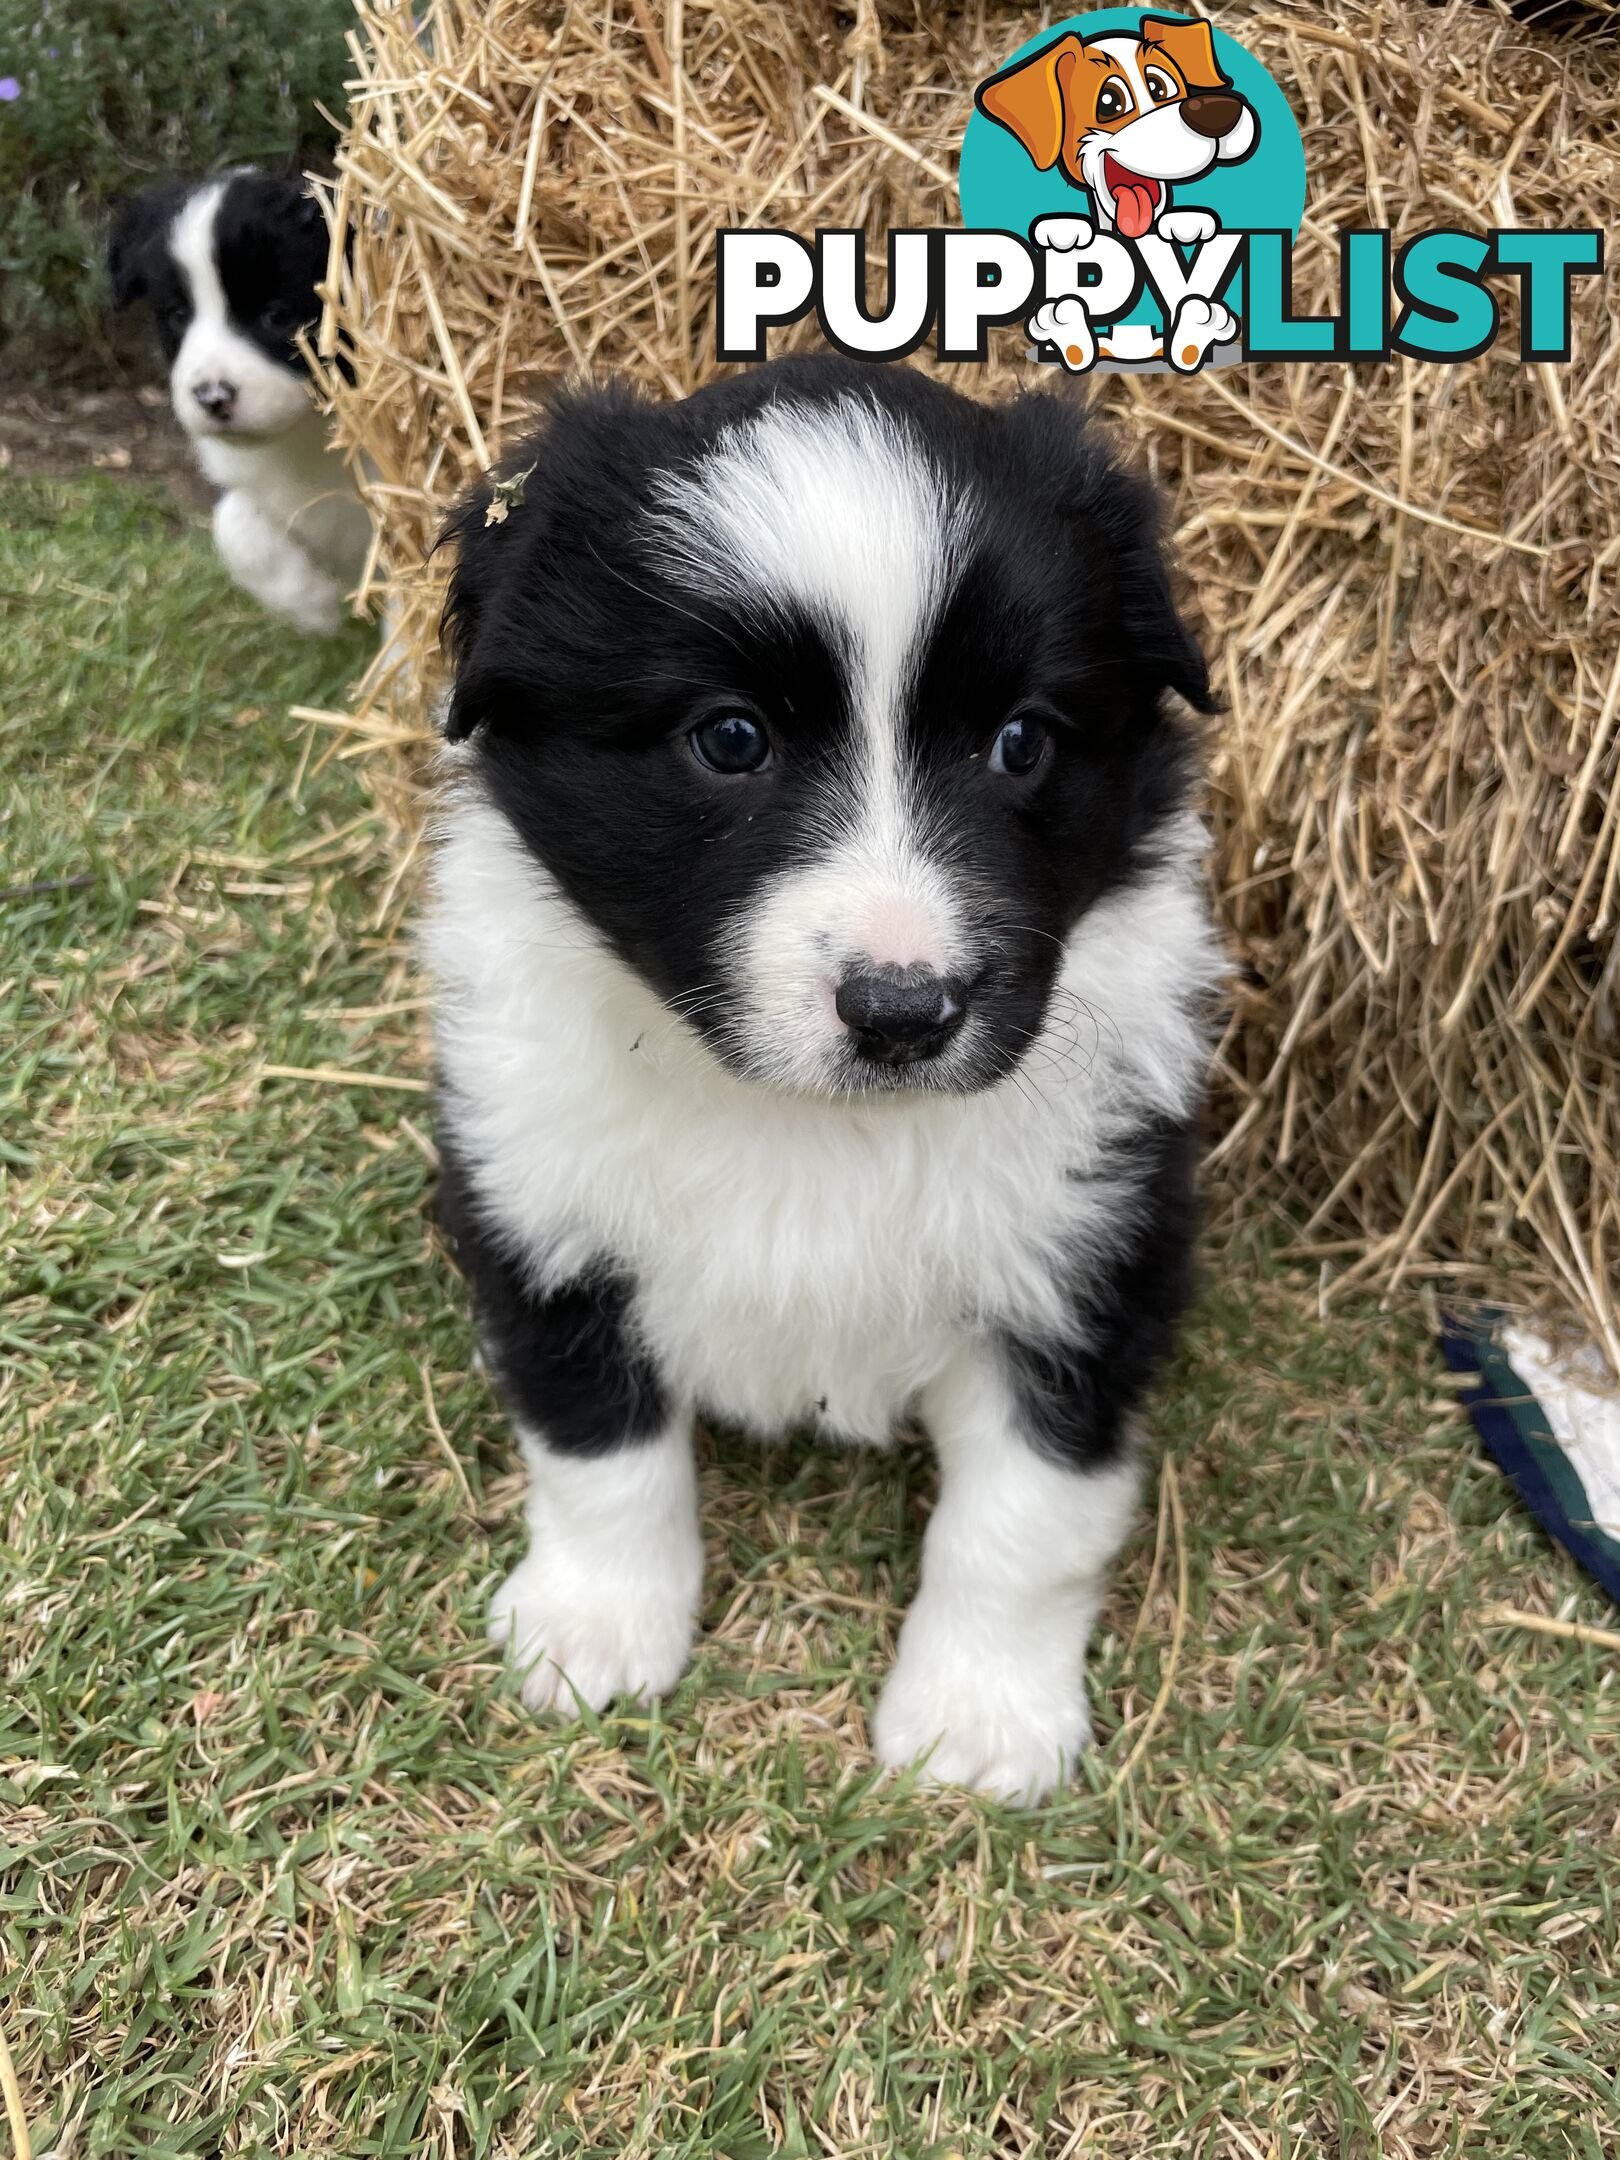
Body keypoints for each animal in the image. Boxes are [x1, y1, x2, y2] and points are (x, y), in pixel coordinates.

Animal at [109, 168, 369, 630]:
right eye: (177, 315)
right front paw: (310, 605)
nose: (212, 397)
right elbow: (233, 522)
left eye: (277, 316)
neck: (307, 439)